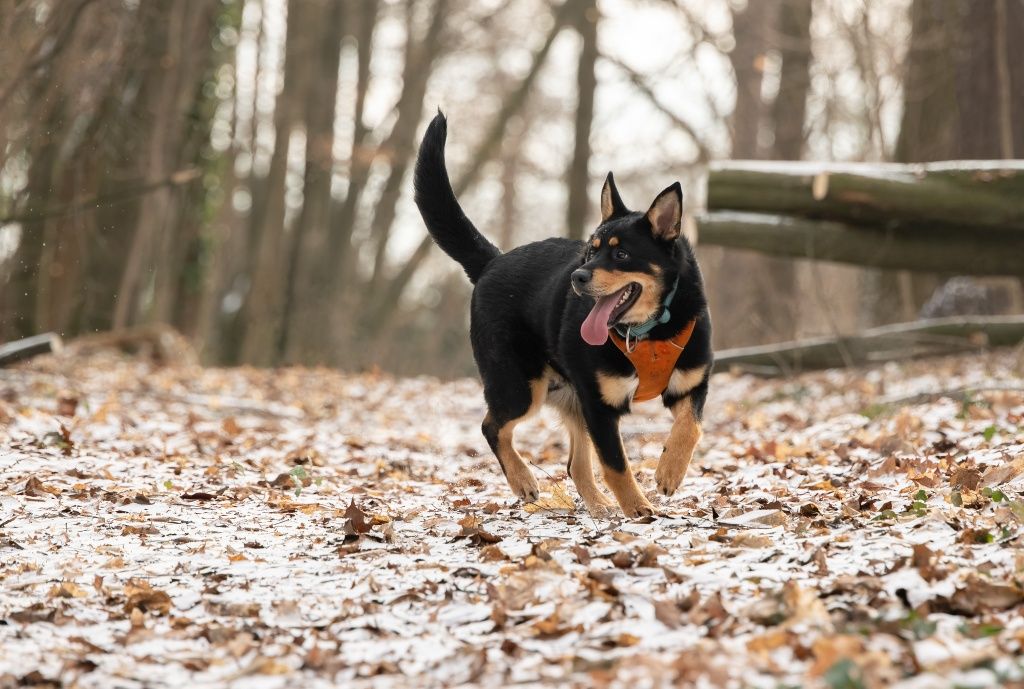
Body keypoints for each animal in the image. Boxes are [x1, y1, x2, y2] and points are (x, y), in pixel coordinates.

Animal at [413, 111, 712, 515]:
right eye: (590, 251)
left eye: (620, 254)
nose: (577, 276)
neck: (649, 332)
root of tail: (492, 261)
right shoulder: (600, 407)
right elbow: (616, 464)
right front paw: (639, 509)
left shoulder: (690, 386)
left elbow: (691, 427)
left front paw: (669, 472)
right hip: (521, 386)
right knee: (492, 426)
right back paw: (523, 480)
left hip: (570, 397)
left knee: (574, 464)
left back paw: (599, 506)